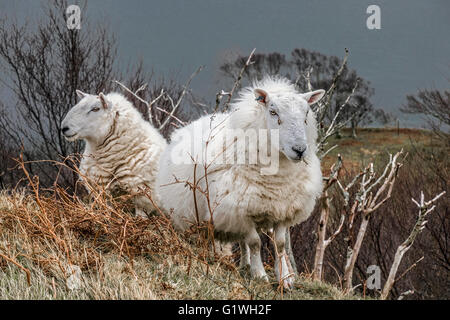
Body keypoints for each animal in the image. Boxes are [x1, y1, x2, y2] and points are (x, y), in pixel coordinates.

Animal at [157, 77, 324, 288]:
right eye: (273, 112)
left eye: (306, 114)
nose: (299, 150)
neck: (278, 176)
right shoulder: (240, 210)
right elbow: (255, 242)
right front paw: (260, 275)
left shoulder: (282, 209)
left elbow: (279, 244)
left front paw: (284, 279)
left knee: (243, 242)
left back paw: (245, 265)